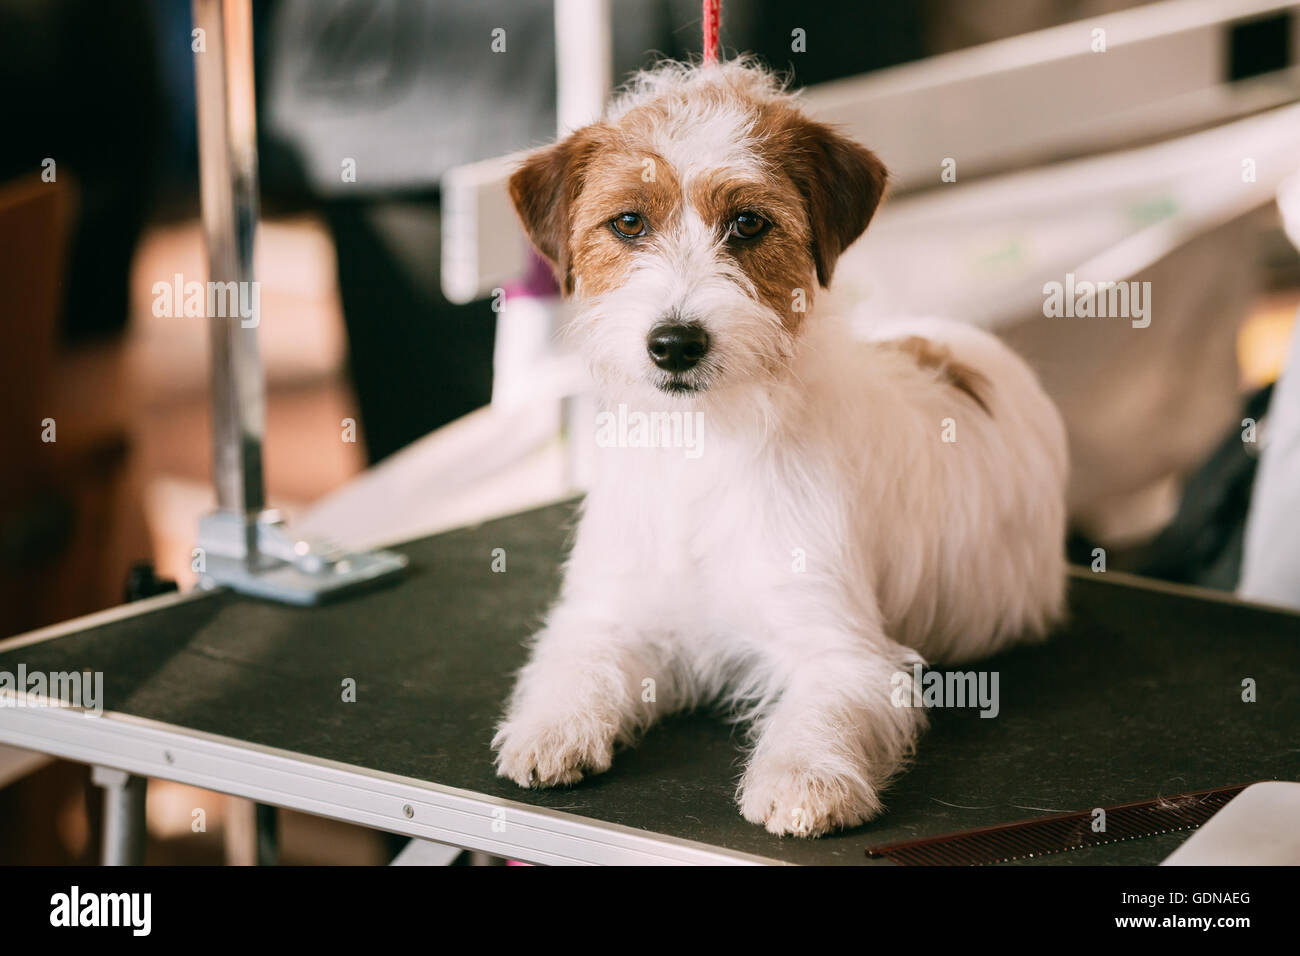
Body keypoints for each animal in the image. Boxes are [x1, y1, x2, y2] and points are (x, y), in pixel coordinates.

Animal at [488, 61, 1066, 837]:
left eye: (749, 222)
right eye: (629, 222)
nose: (675, 344)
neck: (703, 442)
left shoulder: (840, 645)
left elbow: (825, 710)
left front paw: (803, 779)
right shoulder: (612, 612)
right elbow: (577, 663)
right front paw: (552, 727)